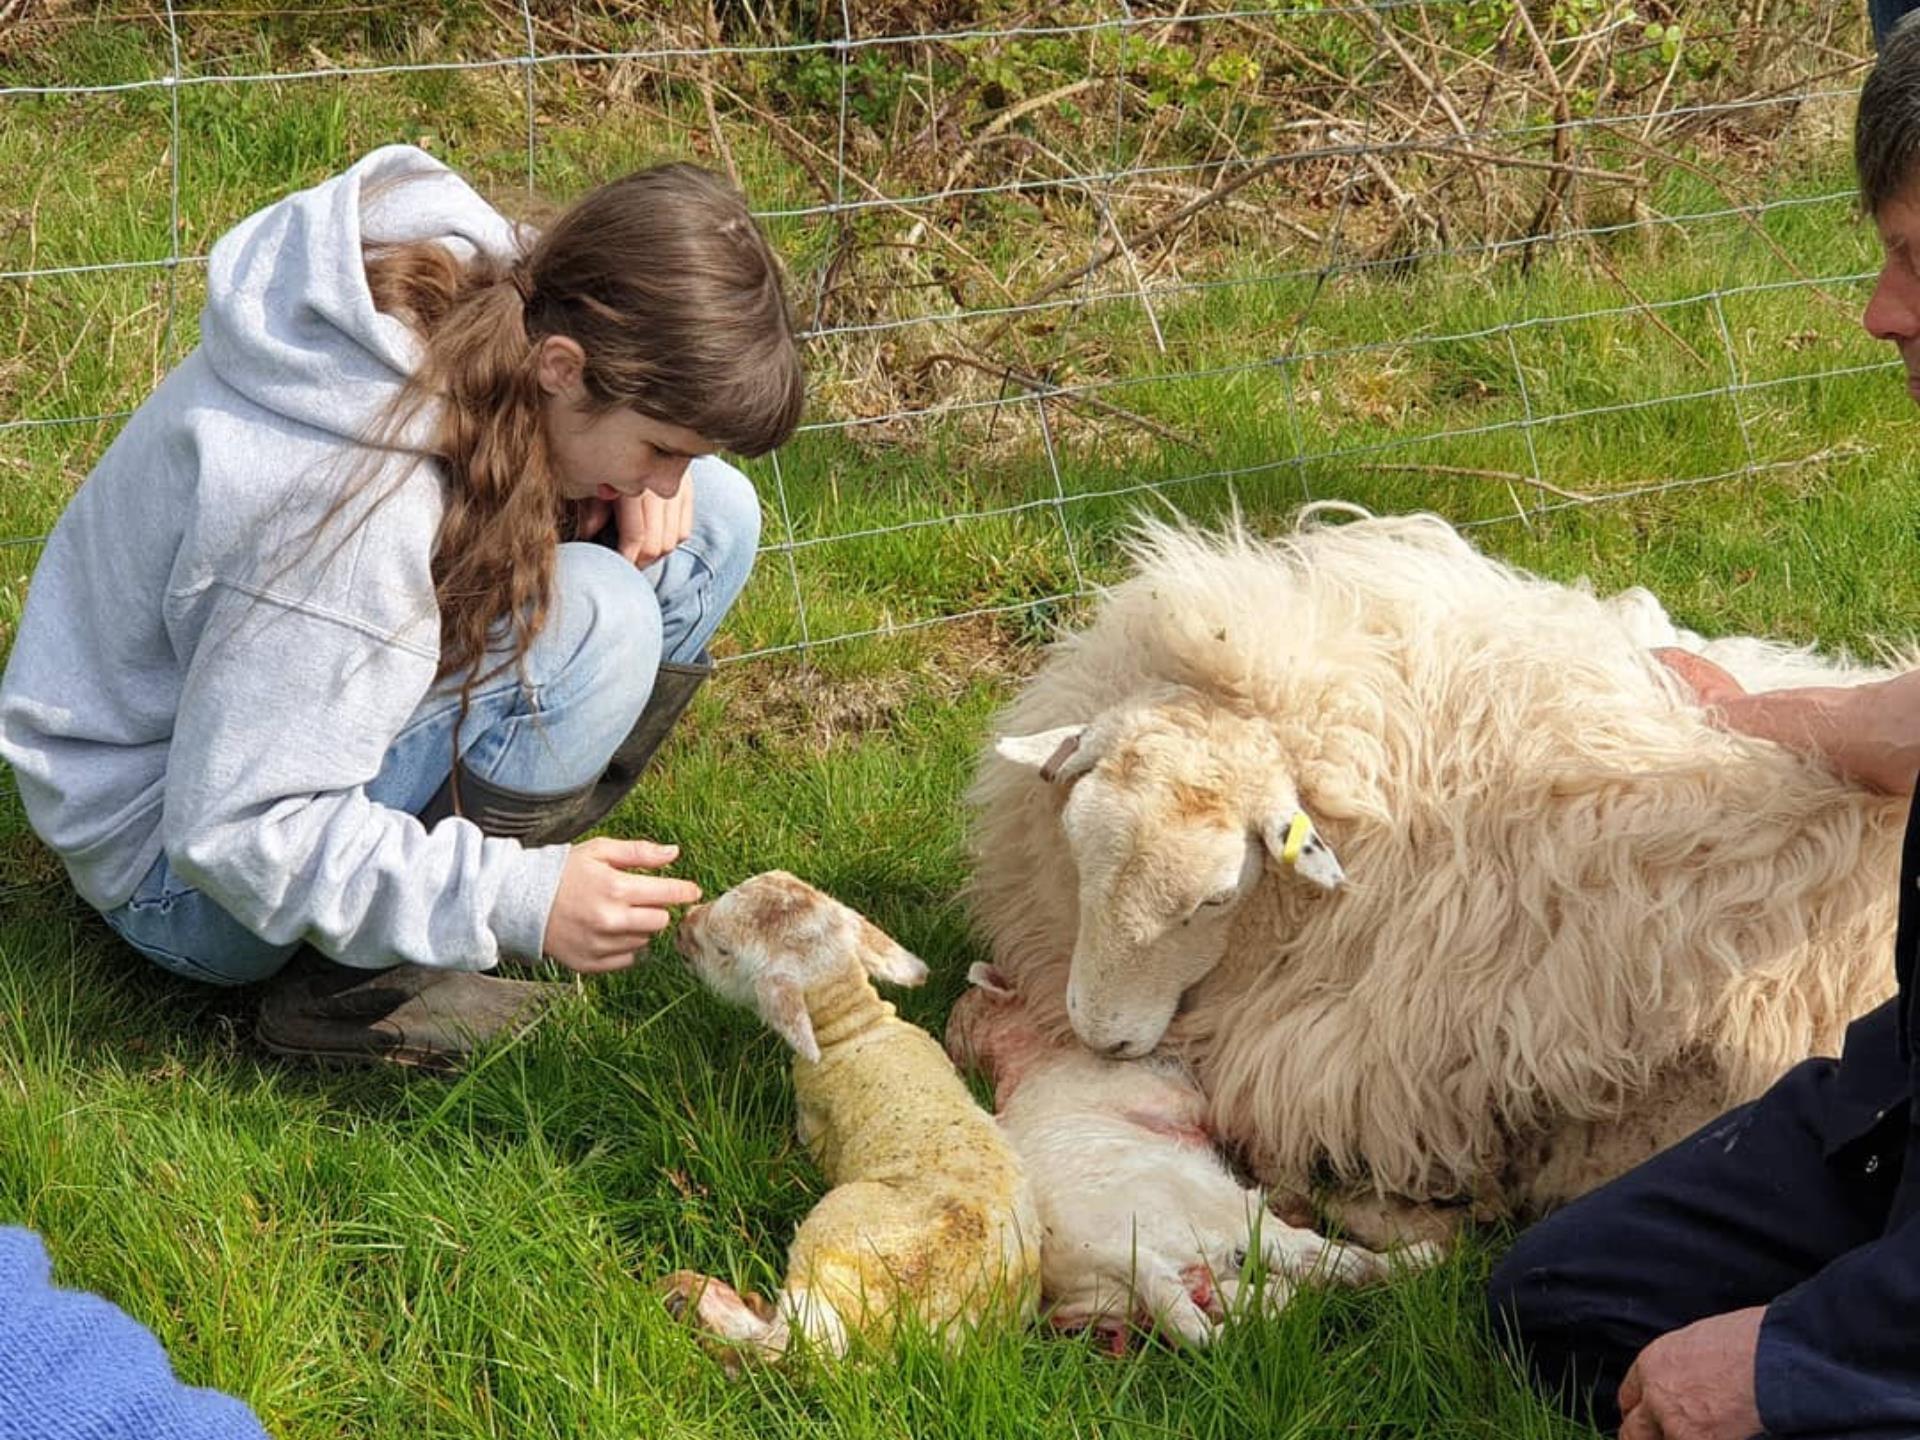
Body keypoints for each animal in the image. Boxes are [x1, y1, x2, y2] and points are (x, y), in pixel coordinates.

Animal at [668, 867, 1044, 1367]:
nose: (682, 926)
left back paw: (699, 1298)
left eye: (723, 950)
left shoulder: (814, 1116)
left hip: (830, 1238)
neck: (855, 1027)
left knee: (788, 1342)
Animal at [944, 963, 1428, 1351]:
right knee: (1325, 1260)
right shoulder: (1173, 1097)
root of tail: (1119, 1257)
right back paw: (1423, 1257)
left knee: (1256, 1303)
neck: (1022, 1064)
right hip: (1219, 1210)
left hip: (1168, 1287)